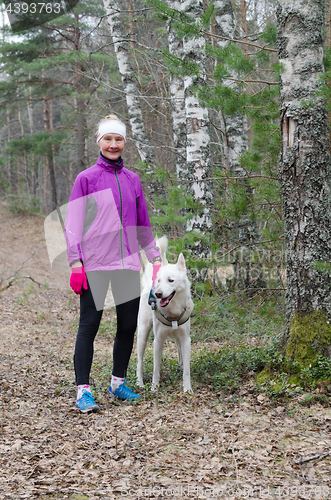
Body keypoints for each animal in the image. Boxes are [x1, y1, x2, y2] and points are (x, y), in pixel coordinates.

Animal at [137, 238, 195, 394]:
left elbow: (187, 370)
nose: (157, 294)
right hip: (142, 335)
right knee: (139, 361)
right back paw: (139, 383)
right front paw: (154, 387)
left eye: (170, 280)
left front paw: (187, 389)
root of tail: (148, 286)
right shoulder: (158, 340)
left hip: (178, 337)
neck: (172, 311)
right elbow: (156, 368)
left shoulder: (186, 339)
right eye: (159, 281)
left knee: (180, 353)